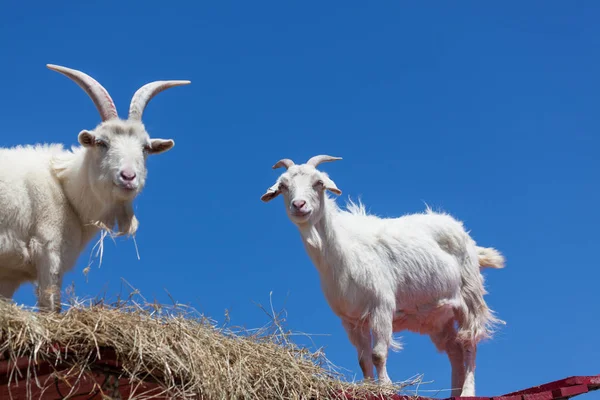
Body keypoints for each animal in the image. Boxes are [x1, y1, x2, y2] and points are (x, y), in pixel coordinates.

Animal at [0, 63, 190, 312]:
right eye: (101, 143)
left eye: (145, 148)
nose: (128, 177)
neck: (65, 188)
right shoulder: (48, 250)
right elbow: (51, 308)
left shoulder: (9, 274)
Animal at [260, 155, 504, 396]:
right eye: (283, 186)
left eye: (318, 183)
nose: (298, 205)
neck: (343, 249)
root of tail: (465, 235)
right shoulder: (351, 320)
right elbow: (363, 360)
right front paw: (368, 387)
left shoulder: (382, 307)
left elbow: (378, 354)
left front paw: (385, 387)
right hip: (437, 316)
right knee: (454, 349)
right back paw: (453, 392)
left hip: (469, 297)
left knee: (469, 343)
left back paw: (467, 392)